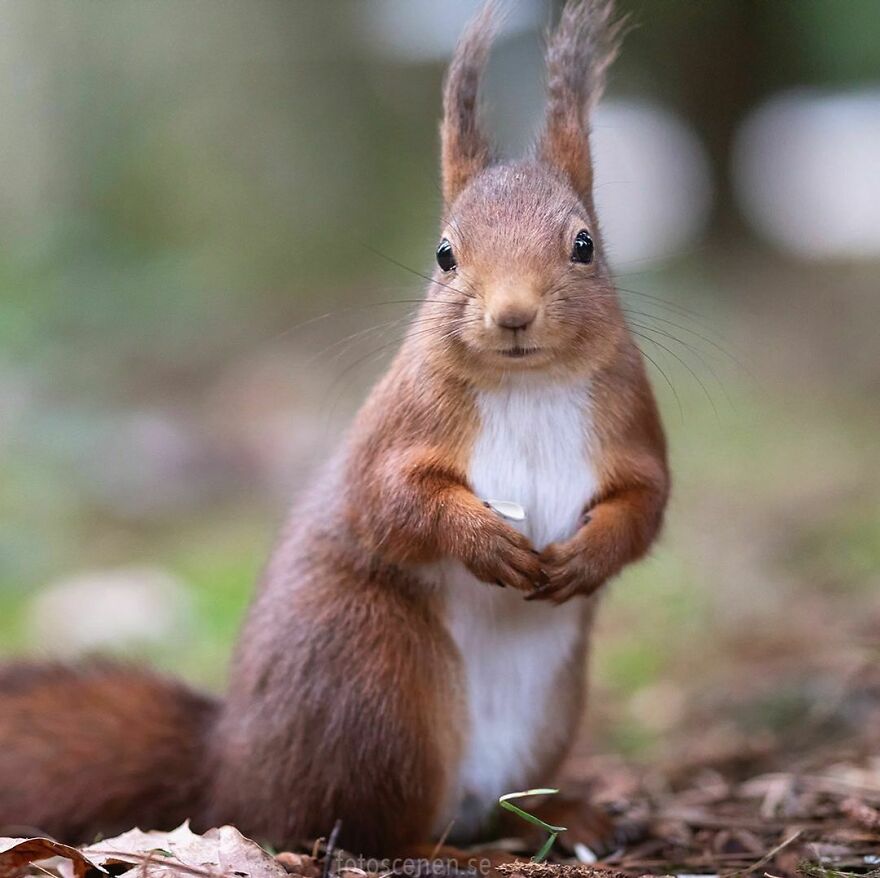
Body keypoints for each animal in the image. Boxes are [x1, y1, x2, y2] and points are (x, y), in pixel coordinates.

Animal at [0, 0, 668, 859]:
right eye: (444, 253)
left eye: (585, 245)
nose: (513, 314)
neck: (526, 385)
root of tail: (230, 775)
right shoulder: (396, 427)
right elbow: (391, 500)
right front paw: (483, 541)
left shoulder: (631, 423)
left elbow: (645, 505)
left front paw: (588, 556)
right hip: (378, 681)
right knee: (371, 828)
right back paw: (446, 851)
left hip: (543, 714)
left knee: (491, 806)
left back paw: (572, 817)